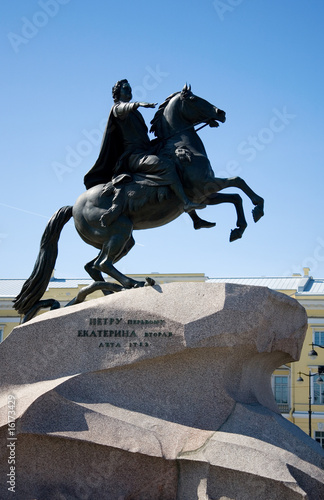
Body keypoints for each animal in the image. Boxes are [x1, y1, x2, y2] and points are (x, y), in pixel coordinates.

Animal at [13, 84, 264, 314]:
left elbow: (235, 197)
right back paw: (134, 283)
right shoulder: (205, 187)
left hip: (121, 239)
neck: (181, 146)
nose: (221, 112)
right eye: (194, 98)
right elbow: (238, 183)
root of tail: (73, 207)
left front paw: (238, 228)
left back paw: (111, 292)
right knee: (103, 263)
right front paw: (257, 210)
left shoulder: (207, 194)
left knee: (93, 266)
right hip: (120, 230)